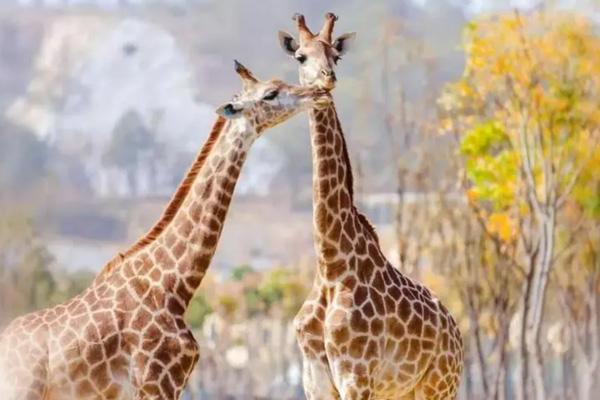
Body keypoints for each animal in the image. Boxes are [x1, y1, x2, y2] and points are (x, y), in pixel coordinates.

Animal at [278, 13, 464, 400]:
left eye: (336, 55)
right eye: (300, 56)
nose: (327, 78)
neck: (331, 265)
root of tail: (457, 334)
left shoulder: (356, 375)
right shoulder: (314, 378)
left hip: (439, 385)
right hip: (404, 392)